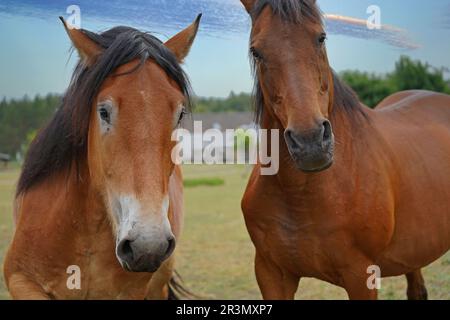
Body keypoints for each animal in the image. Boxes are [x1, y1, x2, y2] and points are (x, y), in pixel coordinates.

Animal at [241, 0, 450, 300]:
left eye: (321, 37)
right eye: (256, 51)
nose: (310, 142)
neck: (299, 195)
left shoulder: (361, 275)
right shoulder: (271, 273)